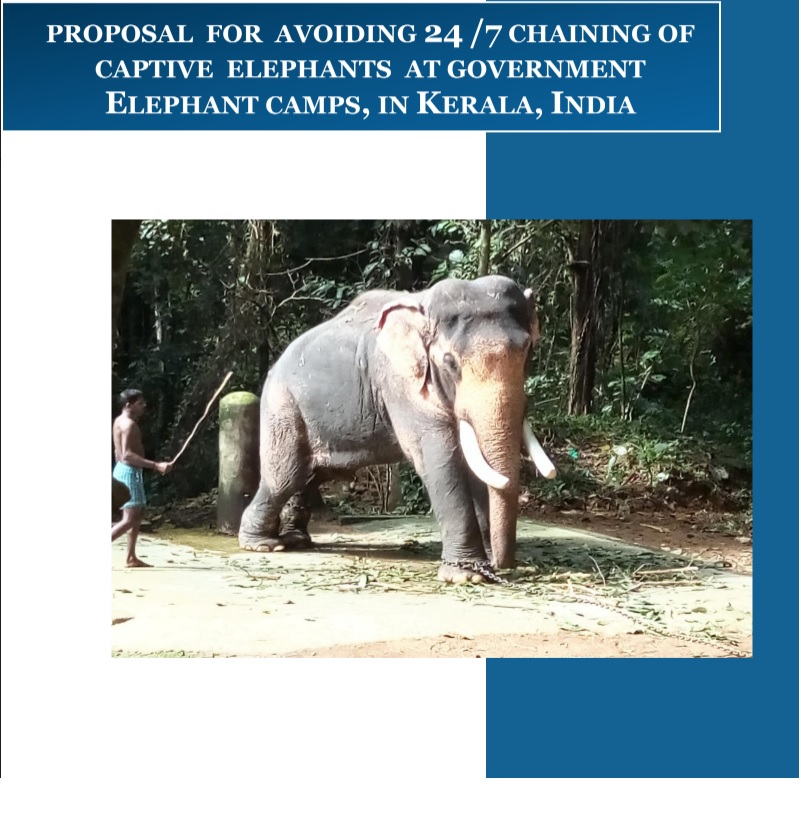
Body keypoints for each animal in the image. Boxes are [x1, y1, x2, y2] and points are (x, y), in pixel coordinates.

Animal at [239, 275, 550, 584]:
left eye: (528, 350)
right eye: (450, 362)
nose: (503, 565)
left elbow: (475, 464)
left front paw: (484, 564)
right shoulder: (400, 383)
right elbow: (442, 460)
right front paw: (466, 576)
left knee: (312, 475)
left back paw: (297, 540)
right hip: (282, 406)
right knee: (285, 475)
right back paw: (264, 544)